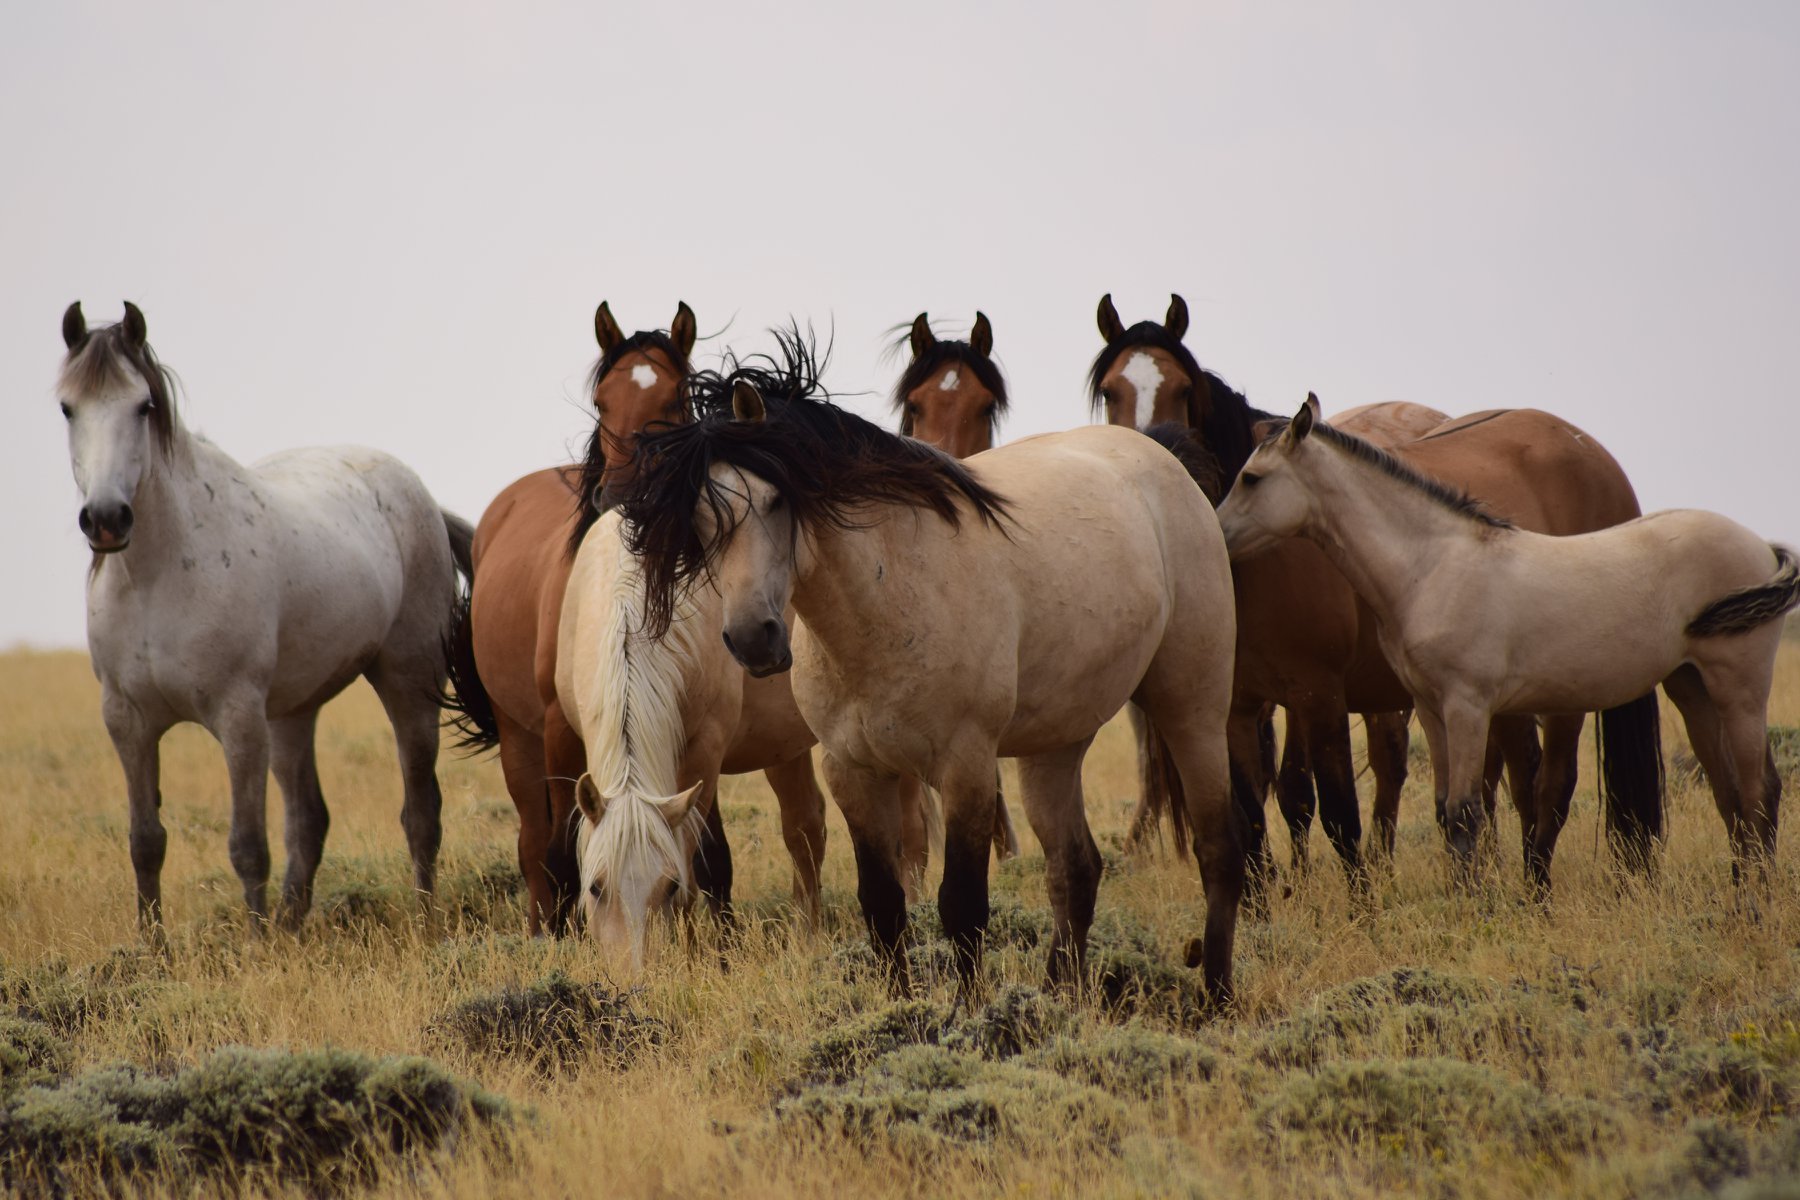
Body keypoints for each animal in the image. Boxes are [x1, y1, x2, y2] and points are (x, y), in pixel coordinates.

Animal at [56, 302, 470, 933]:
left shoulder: (238, 717)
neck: (158, 574)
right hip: (292, 715)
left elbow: (247, 845)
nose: (106, 519)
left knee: (421, 812)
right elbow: (145, 842)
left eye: (142, 406)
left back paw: (424, 924)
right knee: (308, 820)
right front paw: (153, 947)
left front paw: (255, 945)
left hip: (408, 683)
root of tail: (415, 490)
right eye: (67, 407)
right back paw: (292, 926)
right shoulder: (127, 721)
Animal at [556, 505, 825, 969]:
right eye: (595, 887)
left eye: (666, 887)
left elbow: (691, 872)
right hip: (785, 749)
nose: (634, 974)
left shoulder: (703, 754)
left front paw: (694, 958)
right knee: (806, 827)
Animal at [618, 329, 1245, 1005]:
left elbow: (961, 908)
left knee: (1217, 849)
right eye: (701, 518)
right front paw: (902, 1011)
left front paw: (969, 1017)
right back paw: (1060, 998)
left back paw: (1216, 995)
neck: (887, 598)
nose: (753, 639)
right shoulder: (852, 771)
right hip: (1056, 744)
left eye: (777, 497)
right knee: (1075, 868)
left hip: (1193, 709)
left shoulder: (966, 768)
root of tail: (1163, 460)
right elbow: (883, 905)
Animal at [1090, 293, 1445, 884]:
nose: (1153, 463)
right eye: (1109, 391)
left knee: (1395, 757)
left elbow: (1306, 793)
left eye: (1183, 390)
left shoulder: (1314, 690)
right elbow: (1251, 799)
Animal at [1219, 397, 1795, 883]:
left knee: (1759, 790)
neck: (1432, 565)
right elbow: (1444, 809)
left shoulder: (1468, 707)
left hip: (1738, 690)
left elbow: (1464, 813)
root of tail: (1761, 547)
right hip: (1691, 687)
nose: (1217, 535)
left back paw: (1754, 905)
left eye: (1251, 477)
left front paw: (1474, 908)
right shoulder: (1430, 708)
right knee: (1730, 793)